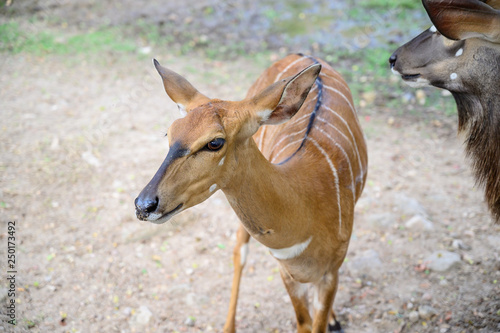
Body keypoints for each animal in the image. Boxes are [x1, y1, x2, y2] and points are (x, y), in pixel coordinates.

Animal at [135, 53, 370, 330]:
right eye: (169, 133)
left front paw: (331, 319)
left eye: (215, 142)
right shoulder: (286, 272)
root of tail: (299, 55)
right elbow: (303, 323)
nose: (144, 205)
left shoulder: (331, 272)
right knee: (240, 252)